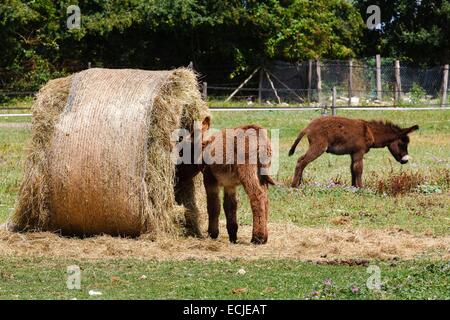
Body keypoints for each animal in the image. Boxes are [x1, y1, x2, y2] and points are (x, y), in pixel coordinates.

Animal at [288, 117, 418, 188]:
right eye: (402, 144)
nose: (405, 160)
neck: (370, 132)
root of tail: (308, 126)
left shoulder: (353, 153)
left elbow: (352, 170)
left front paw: (353, 187)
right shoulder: (359, 152)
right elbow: (359, 170)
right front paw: (361, 188)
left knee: (302, 161)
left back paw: (299, 183)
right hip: (319, 147)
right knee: (301, 161)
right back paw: (294, 186)